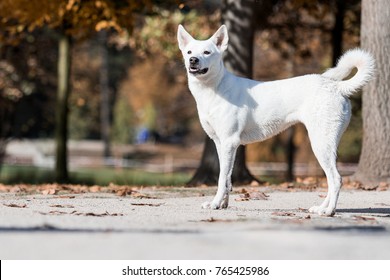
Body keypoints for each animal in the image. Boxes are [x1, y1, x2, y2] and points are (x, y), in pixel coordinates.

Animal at [179, 24, 374, 217]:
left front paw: (215, 204)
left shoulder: (229, 142)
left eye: (207, 52)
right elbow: (226, 178)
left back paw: (328, 211)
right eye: (189, 52)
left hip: (321, 143)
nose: (193, 60)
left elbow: (221, 178)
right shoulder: (221, 144)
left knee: (336, 179)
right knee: (332, 179)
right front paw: (222, 204)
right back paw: (321, 207)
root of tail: (336, 86)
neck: (215, 87)